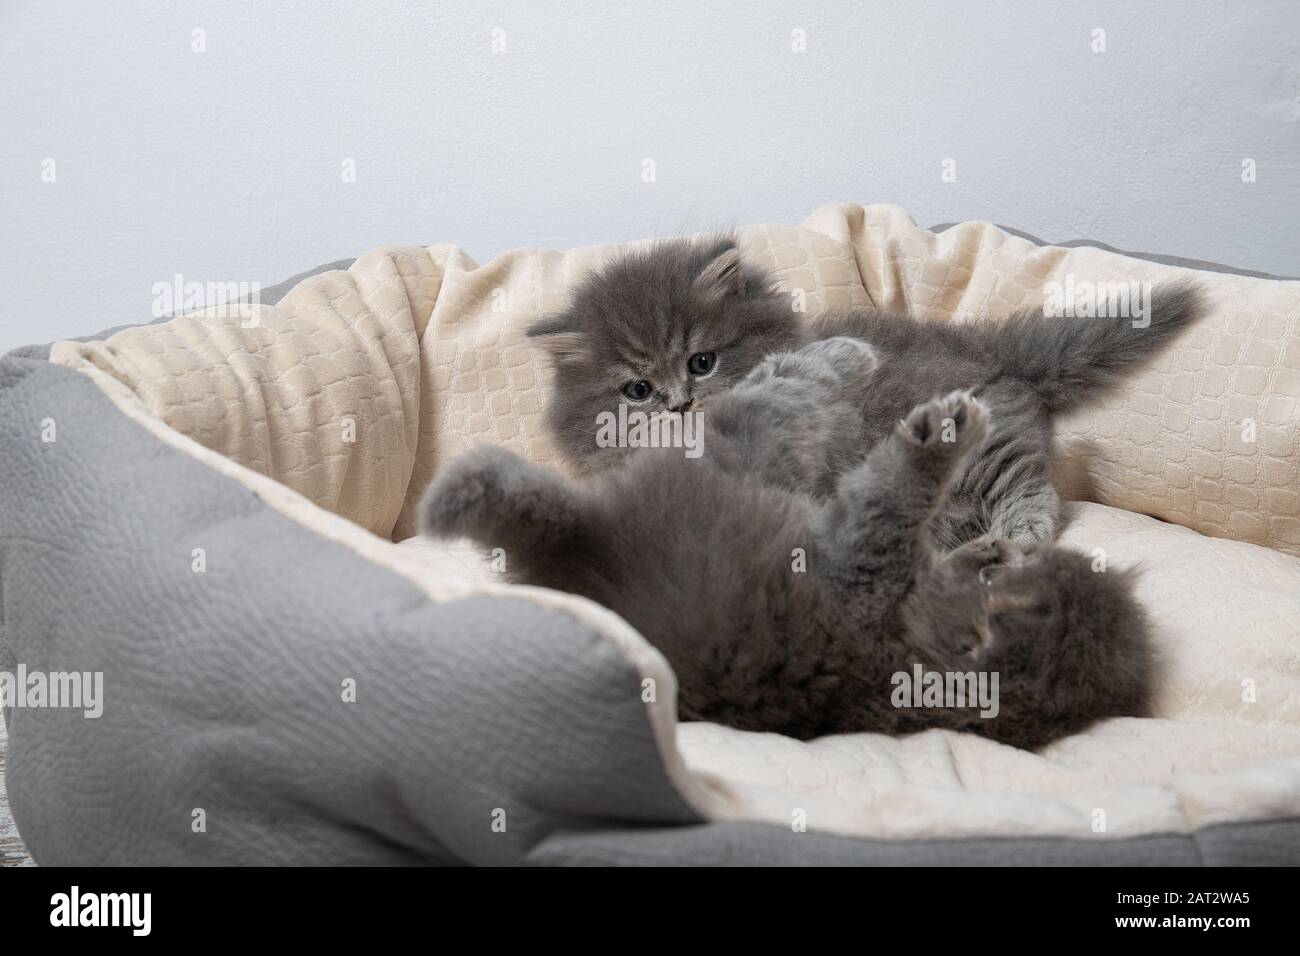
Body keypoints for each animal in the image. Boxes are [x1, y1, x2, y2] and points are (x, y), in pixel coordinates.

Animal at [421, 340, 1154, 749]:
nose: (997, 553)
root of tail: (578, 548)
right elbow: (900, 493)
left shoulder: (857, 560)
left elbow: (892, 492)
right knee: (785, 375)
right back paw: (864, 359)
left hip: (748, 435)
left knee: (783, 377)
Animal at [525, 238, 1196, 548]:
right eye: (637, 389)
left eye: (702, 361)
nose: (678, 402)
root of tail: (987, 349)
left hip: (976, 445)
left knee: (1035, 492)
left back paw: (1016, 539)